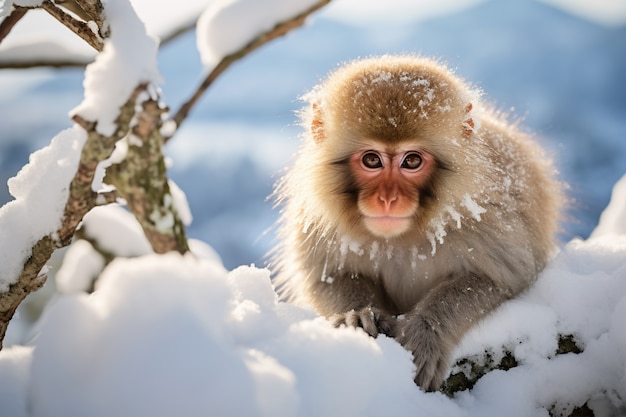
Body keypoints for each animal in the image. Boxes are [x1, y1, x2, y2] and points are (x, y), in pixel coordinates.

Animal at [268, 55, 560, 390]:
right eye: (372, 160)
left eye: (411, 161)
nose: (388, 199)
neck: (401, 238)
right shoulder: (315, 222)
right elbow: (326, 277)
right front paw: (357, 314)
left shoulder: (490, 215)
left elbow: (500, 279)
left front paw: (425, 329)